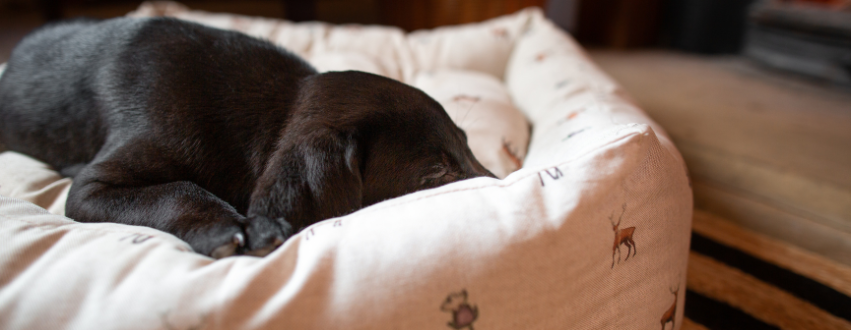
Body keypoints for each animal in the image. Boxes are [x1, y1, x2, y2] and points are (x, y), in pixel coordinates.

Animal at [0, 17, 496, 258]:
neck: (274, 109)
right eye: (433, 174)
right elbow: (177, 191)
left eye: (468, 145)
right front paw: (230, 228)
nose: (504, 184)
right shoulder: (92, 186)